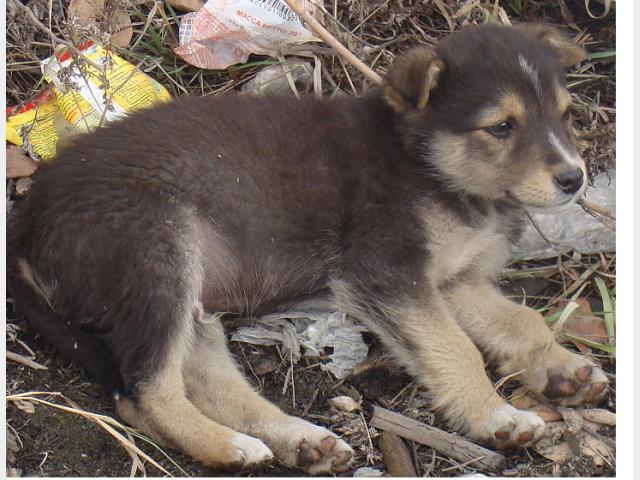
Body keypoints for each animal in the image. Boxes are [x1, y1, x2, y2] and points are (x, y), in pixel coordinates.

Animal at [10, 23, 608, 472]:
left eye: (565, 114)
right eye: (501, 126)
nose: (575, 179)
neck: (427, 164)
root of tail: (27, 218)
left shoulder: (451, 279)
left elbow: (522, 321)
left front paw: (564, 370)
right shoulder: (386, 273)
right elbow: (456, 346)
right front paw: (495, 417)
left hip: (188, 285)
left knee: (201, 375)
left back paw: (296, 439)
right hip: (157, 252)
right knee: (145, 392)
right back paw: (227, 446)